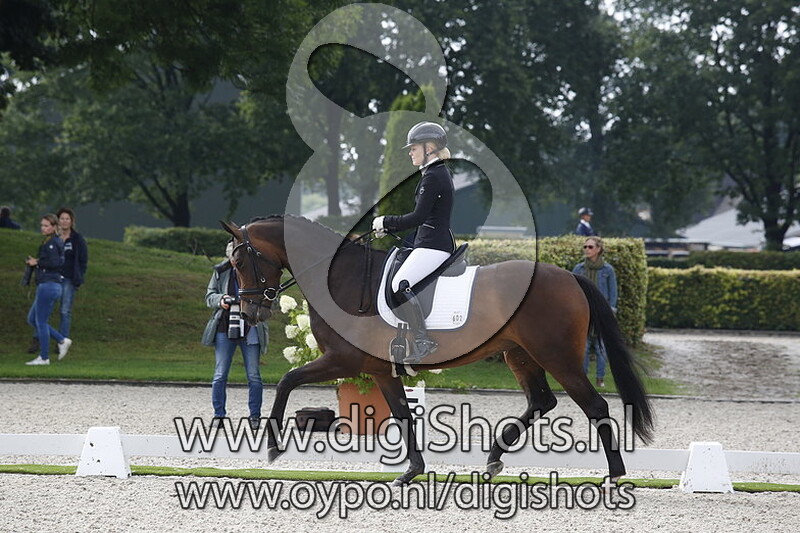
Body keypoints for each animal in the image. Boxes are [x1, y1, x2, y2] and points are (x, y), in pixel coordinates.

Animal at [221, 215, 654, 485]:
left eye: (240, 262)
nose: (250, 312)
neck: (341, 278)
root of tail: (569, 276)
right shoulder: (379, 369)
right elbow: (401, 415)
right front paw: (411, 471)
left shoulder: (343, 359)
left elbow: (287, 380)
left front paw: (273, 448)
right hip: (520, 354)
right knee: (542, 401)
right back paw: (493, 459)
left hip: (557, 355)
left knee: (594, 405)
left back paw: (615, 475)